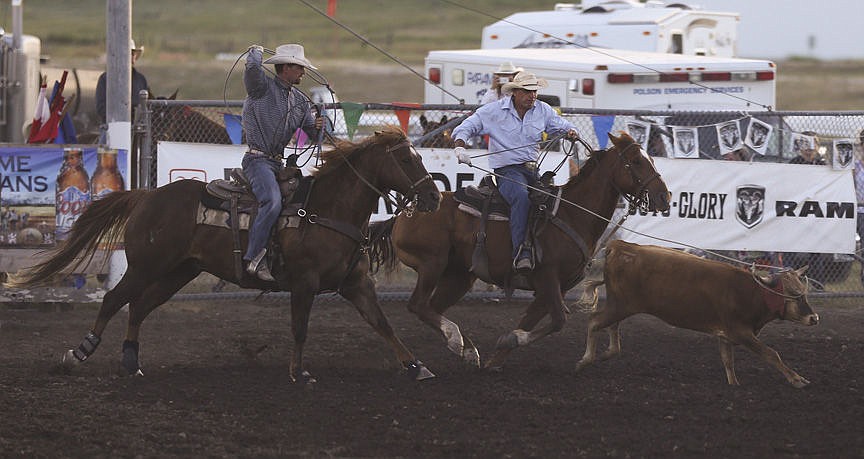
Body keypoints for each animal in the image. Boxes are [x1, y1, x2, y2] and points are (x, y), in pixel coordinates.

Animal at [11, 127, 446, 382]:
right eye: (404, 158)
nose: (433, 196)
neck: (328, 209)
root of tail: (147, 195)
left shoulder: (355, 283)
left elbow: (382, 323)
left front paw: (416, 365)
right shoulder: (303, 284)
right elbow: (300, 328)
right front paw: (299, 372)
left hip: (179, 272)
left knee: (139, 306)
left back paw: (132, 361)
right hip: (146, 266)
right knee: (115, 299)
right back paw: (78, 353)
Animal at [368, 132, 672, 370]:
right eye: (636, 162)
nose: (664, 197)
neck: (573, 213)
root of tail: (405, 213)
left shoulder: (554, 287)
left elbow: (529, 322)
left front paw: (498, 354)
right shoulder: (547, 278)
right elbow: (558, 320)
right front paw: (509, 341)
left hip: (459, 276)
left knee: (432, 308)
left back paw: (467, 349)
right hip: (432, 264)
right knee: (418, 305)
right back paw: (457, 341)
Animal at [576, 241, 820, 388]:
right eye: (796, 295)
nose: (814, 318)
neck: (752, 293)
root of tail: (620, 246)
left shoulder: (725, 336)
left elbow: (728, 362)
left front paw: (734, 385)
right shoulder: (740, 332)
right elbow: (771, 353)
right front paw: (797, 379)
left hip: (620, 305)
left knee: (611, 325)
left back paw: (608, 352)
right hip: (621, 305)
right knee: (594, 321)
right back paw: (586, 359)